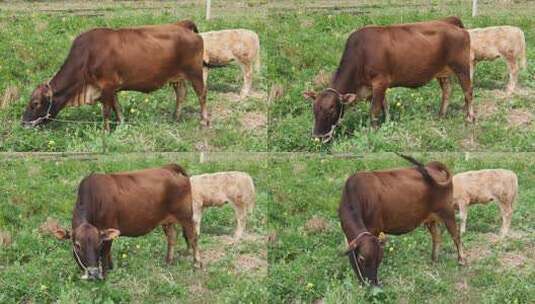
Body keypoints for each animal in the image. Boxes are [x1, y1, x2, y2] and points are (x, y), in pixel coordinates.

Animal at [23, 20, 211, 131]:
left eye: (35, 103)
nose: (23, 123)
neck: (86, 57)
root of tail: (182, 25)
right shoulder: (111, 88)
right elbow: (117, 107)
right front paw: (121, 125)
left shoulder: (107, 86)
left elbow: (106, 111)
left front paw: (106, 131)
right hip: (177, 78)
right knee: (181, 94)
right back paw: (175, 117)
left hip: (195, 72)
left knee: (202, 94)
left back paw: (204, 121)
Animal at [51, 164, 201, 280]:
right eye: (77, 245)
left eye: (98, 243)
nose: (93, 273)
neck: (94, 197)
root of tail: (169, 167)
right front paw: (111, 267)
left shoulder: (108, 228)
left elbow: (104, 254)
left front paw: (105, 275)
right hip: (167, 220)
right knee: (172, 236)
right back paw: (168, 261)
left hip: (186, 216)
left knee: (193, 237)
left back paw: (197, 263)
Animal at [304, 15, 476, 141]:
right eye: (314, 110)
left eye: (332, 110)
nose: (318, 137)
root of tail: (450, 21)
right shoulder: (374, 86)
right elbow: (384, 106)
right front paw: (387, 123)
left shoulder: (380, 81)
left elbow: (374, 110)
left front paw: (373, 132)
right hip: (442, 72)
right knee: (447, 90)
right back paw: (441, 116)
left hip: (462, 67)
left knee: (468, 92)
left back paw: (470, 119)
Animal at [340, 156, 464, 286]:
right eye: (361, 259)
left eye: (379, 259)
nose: (373, 283)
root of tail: (432, 167)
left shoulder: (375, 228)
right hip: (431, 218)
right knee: (437, 236)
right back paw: (434, 259)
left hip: (448, 212)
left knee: (456, 236)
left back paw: (461, 260)